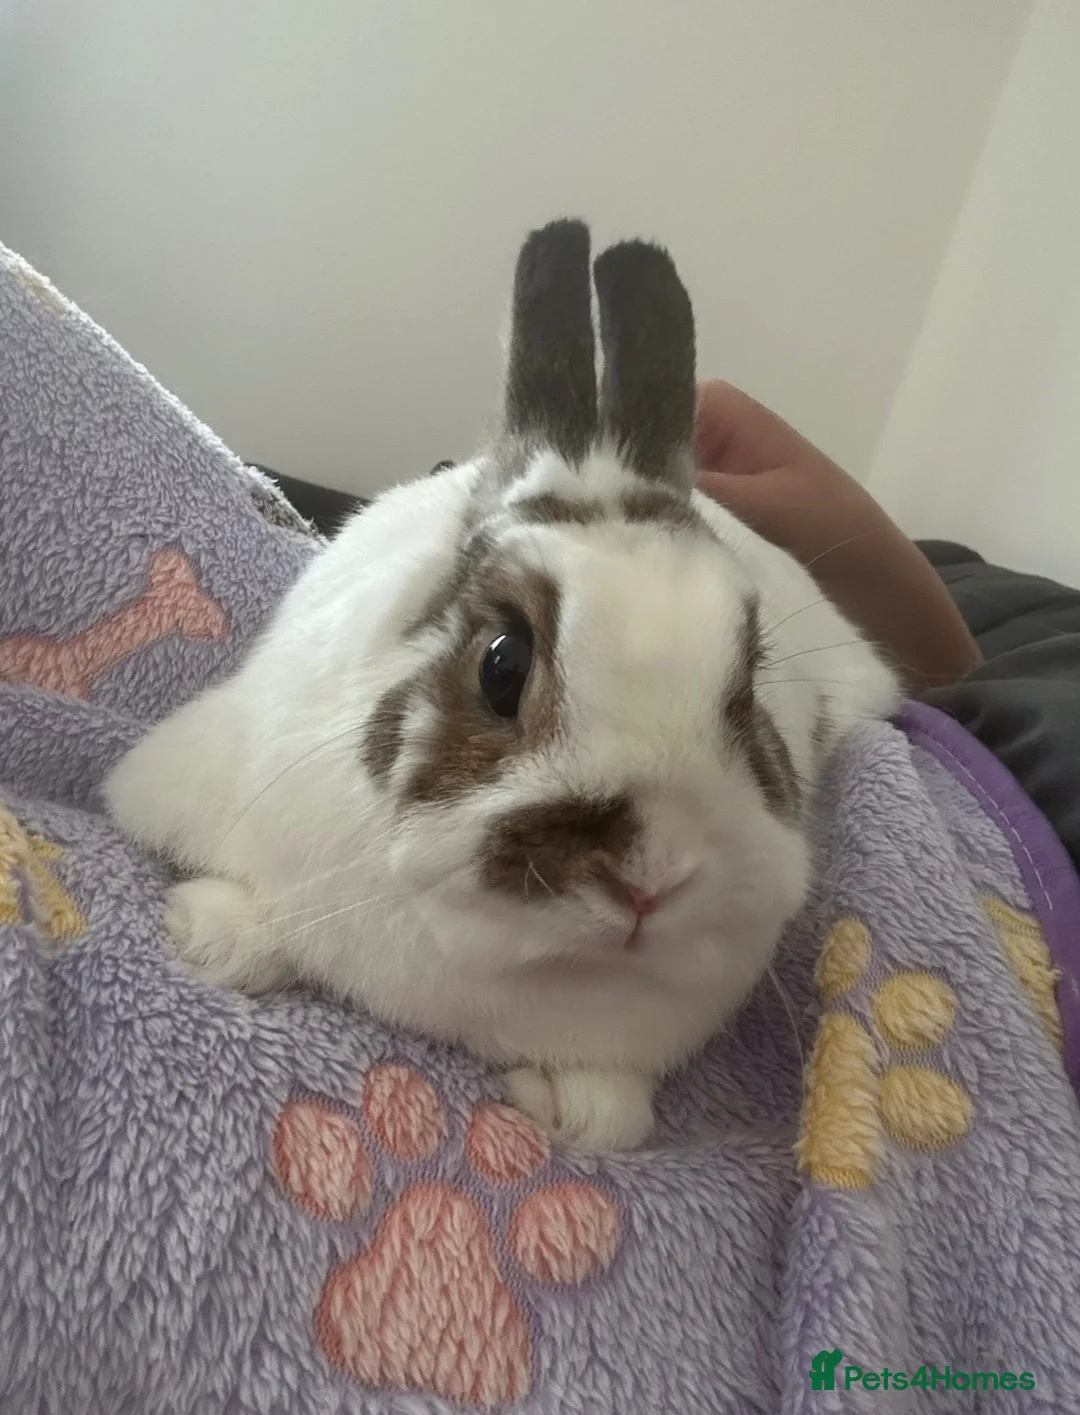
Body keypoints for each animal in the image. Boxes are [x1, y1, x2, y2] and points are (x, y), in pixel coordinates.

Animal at [105, 220, 900, 1151]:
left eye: (747, 693)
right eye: (502, 663)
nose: (650, 881)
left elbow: (609, 1118)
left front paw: (573, 1106)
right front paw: (211, 934)